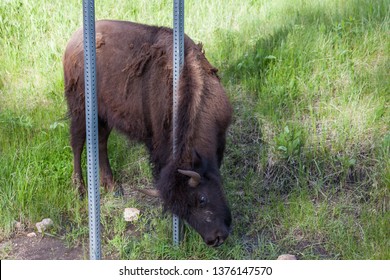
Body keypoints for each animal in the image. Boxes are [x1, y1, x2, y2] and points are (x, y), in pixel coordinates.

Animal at [63, 20, 232, 246]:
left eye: (202, 199)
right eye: (181, 208)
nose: (214, 238)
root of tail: (72, 41)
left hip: (104, 116)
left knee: (100, 142)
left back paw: (112, 186)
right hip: (80, 110)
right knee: (77, 143)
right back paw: (80, 190)